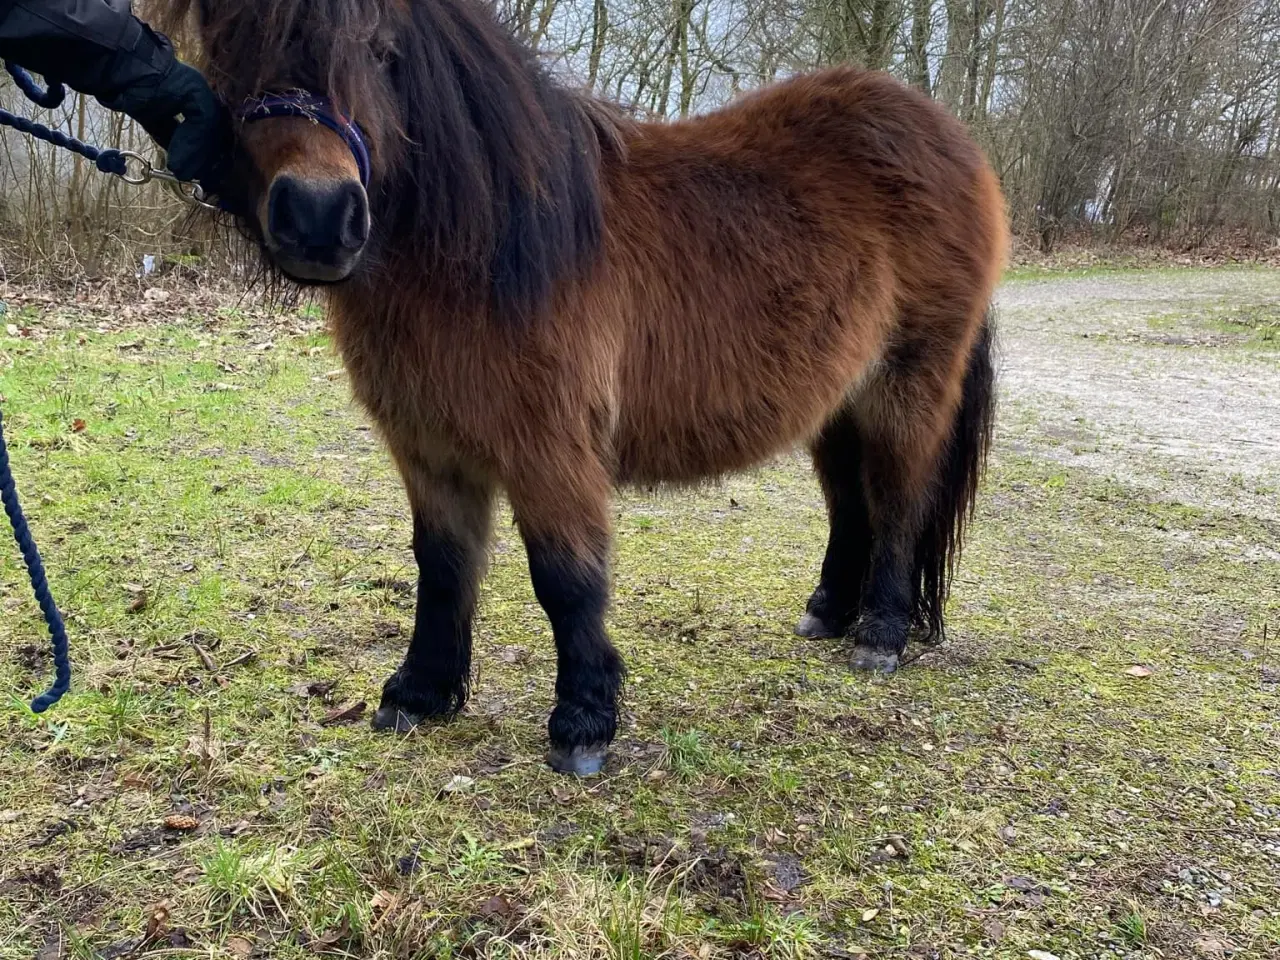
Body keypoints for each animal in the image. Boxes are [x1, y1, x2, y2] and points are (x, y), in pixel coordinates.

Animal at [172, 0, 1008, 773]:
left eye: (381, 52)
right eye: (228, 48)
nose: (319, 218)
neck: (485, 244)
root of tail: (950, 137)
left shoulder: (549, 447)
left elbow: (566, 579)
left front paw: (582, 723)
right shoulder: (429, 449)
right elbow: (441, 567)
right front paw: (420, 693)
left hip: (908, 383)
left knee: (898, 500)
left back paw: (881, 635)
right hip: (837, 401)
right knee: (849, 503)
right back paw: (829, 611)